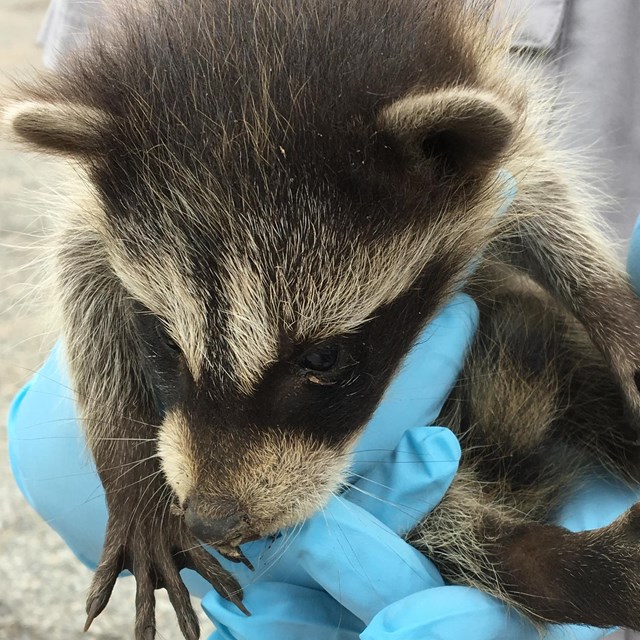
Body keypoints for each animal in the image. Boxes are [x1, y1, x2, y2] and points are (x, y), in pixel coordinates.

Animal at [3, 0, 640, 636]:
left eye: (323, 357)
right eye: (168, 341)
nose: (210, 520)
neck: (265, 34)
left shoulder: (495, 145)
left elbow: (547, 201)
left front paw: (608, 303)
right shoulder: (91, 217)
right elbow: (80, 280)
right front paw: (129, 474)